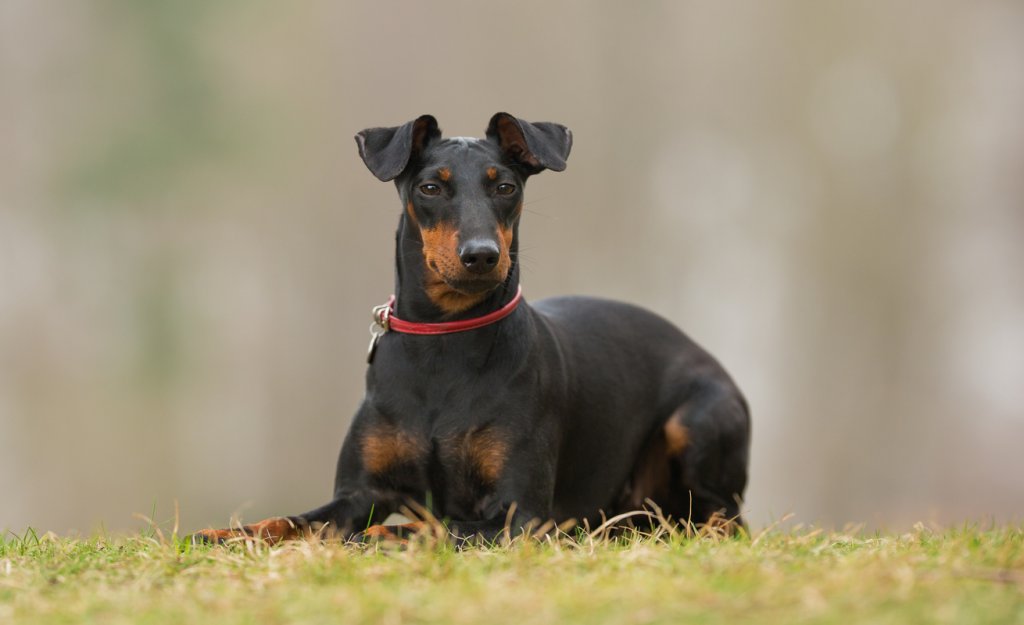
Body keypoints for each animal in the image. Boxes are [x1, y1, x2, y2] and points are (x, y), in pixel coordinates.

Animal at [193, 114, 753, 540]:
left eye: (505, 187)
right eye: (430, 187)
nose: (481, 255)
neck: (443, 342)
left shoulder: (520, 514)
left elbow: (437, 527)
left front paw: (386, 536)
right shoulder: (359, 493)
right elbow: (290, 520)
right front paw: (226, 534)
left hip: (697, 421)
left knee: (722, 519)